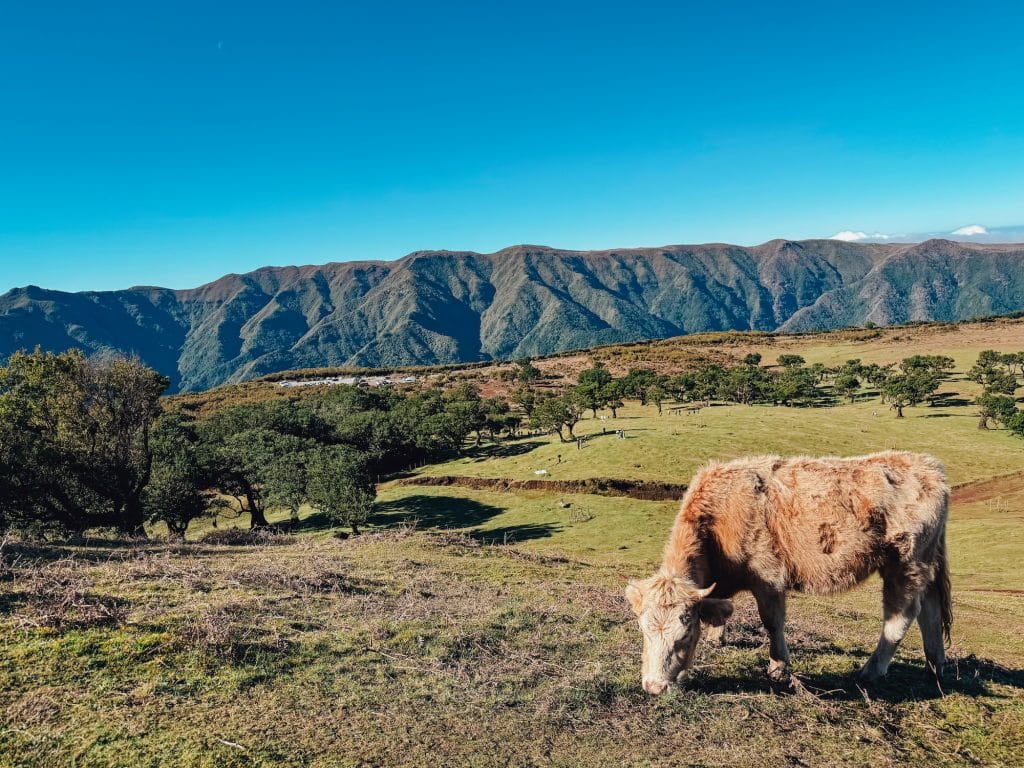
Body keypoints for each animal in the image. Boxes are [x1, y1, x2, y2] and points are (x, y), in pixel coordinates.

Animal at [625, 451, 952, 694]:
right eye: (643, 632)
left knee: (901, 617)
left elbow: (772, 622)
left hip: (905, 565)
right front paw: (716, 637)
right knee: (931, 612)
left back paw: (871, 671)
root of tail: (929, 467)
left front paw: (778, 667)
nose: (654, 687)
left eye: (684, 635)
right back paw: (935, 667)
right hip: (926, 563)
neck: (720, 517)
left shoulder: (768, 578)